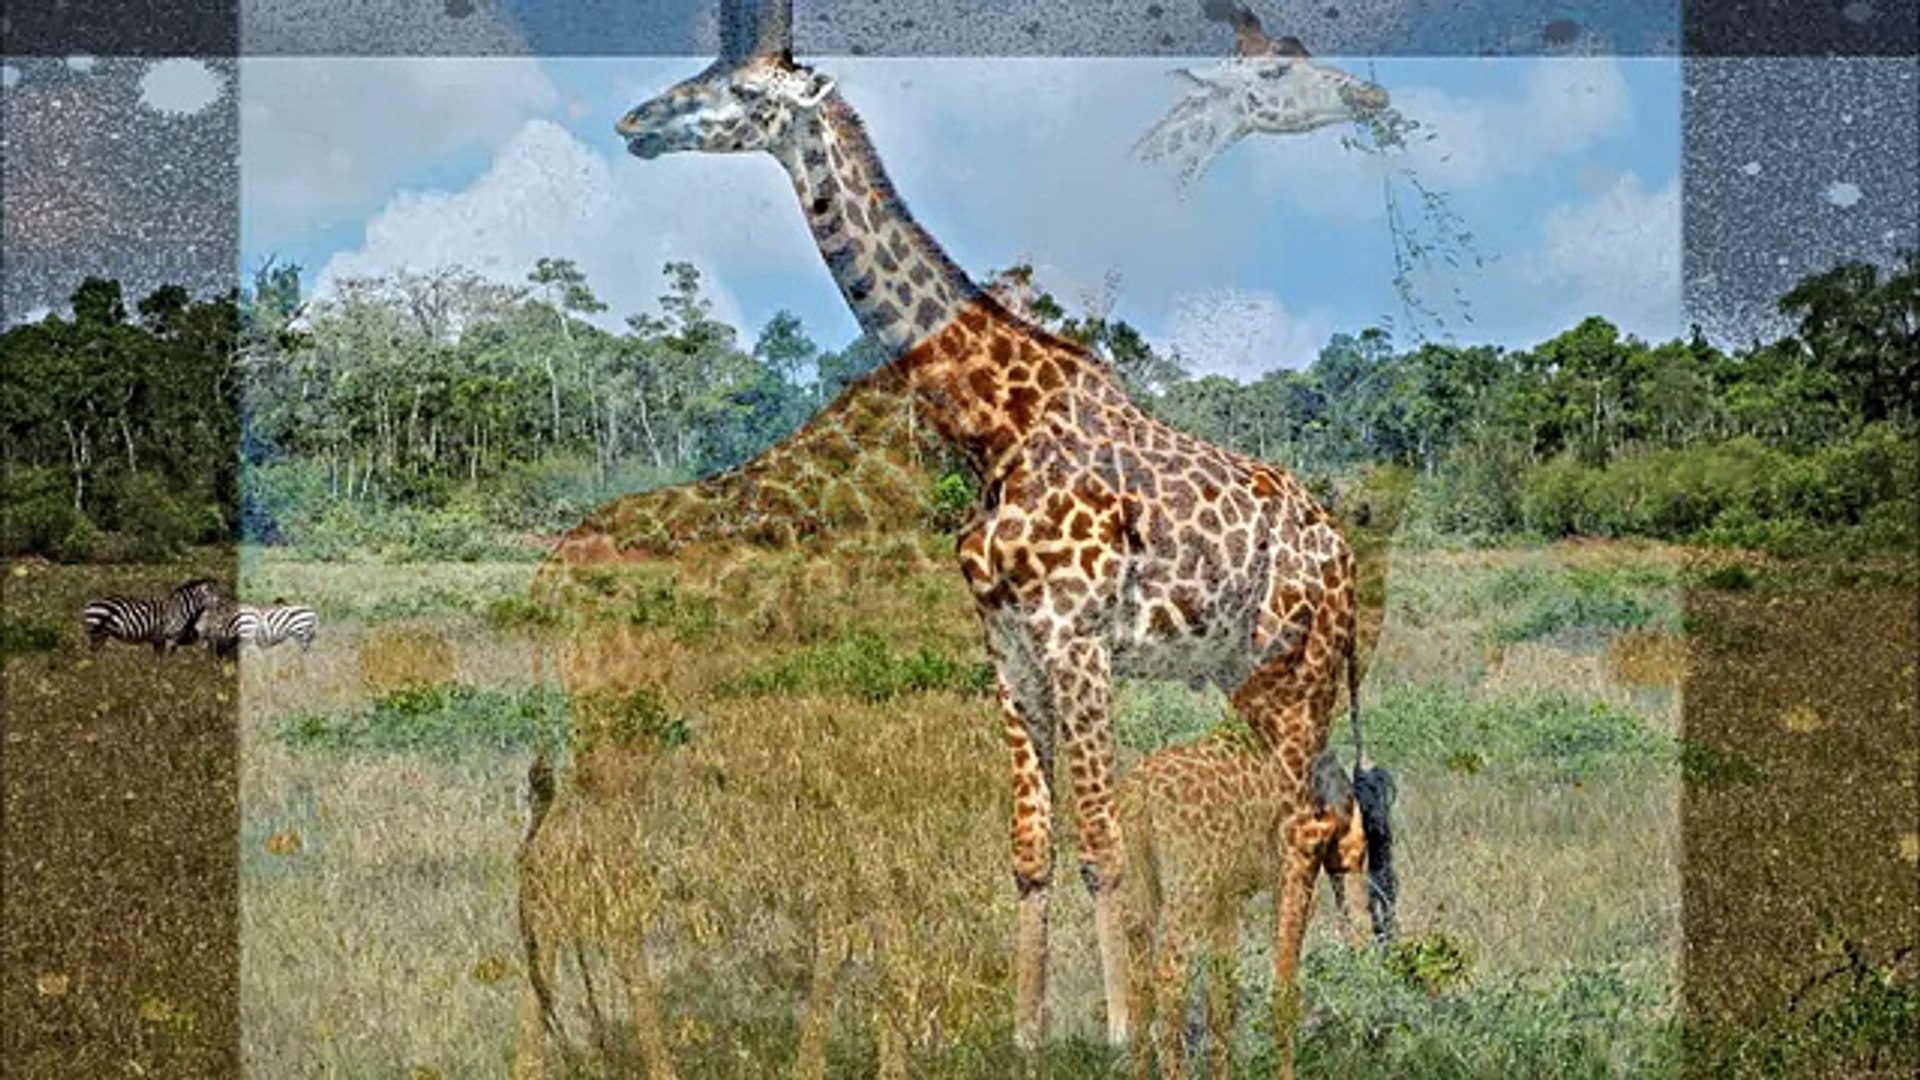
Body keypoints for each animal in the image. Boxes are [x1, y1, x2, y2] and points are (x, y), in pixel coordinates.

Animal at [614, 1, 1365, 1064]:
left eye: (746, 91)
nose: (633, 122)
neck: (992, 426)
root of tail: (1343, 554)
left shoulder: (1077, 637)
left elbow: (1100, 840)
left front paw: (1123, 1031)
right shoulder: (1006, 644)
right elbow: (1029, 844)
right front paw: (1027, 1030)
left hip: (1292, 664)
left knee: (1306, 818)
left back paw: (1289, 1013)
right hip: (1253, 676)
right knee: (1338, 809)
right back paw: (1369, 979)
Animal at [1120, 737, 1395, 1080]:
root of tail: (1139, 793)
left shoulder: (1226, 899)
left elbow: (1223, 997)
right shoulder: (1292, 876)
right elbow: (1284, 988)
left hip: (1140, 894)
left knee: (1137, 984)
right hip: (1189, 891)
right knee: (1170, 976)